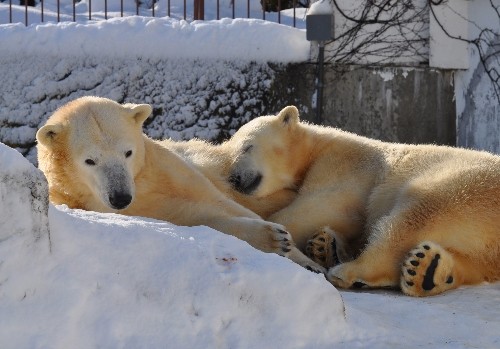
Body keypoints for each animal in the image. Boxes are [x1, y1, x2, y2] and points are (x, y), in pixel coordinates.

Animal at [36, 96, 324, 272]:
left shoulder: (167, 169)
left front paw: (306, 259)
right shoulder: (122, 206)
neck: (142, 183)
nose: (121, 197)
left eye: (128, 152)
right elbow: (195, 217)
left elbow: (222, 202)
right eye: (90, 161)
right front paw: (275, 239)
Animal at [227, 104, 500, 294]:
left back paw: (349, 271)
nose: (234, 178)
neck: (316, 147)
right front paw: (324, 245)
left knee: (414, 215)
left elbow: (323, 207)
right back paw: (429, 271)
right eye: (230, 150)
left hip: (463, 187)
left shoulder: (343, 166)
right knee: (475, 262)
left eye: (247, 146)